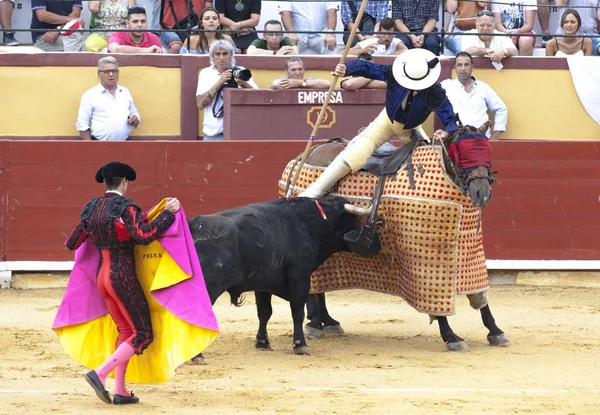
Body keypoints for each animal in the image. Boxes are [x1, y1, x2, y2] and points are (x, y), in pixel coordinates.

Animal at [278, 122, 508, 352]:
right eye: (462, 153)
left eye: (488, 152)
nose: (483, 193)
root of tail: (302, 156)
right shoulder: (425, 261)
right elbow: (436, 301)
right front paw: (451, 337)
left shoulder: (470, 252)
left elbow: (480, 297)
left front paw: (496, 331)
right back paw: (316, 323)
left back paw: (328, 321)